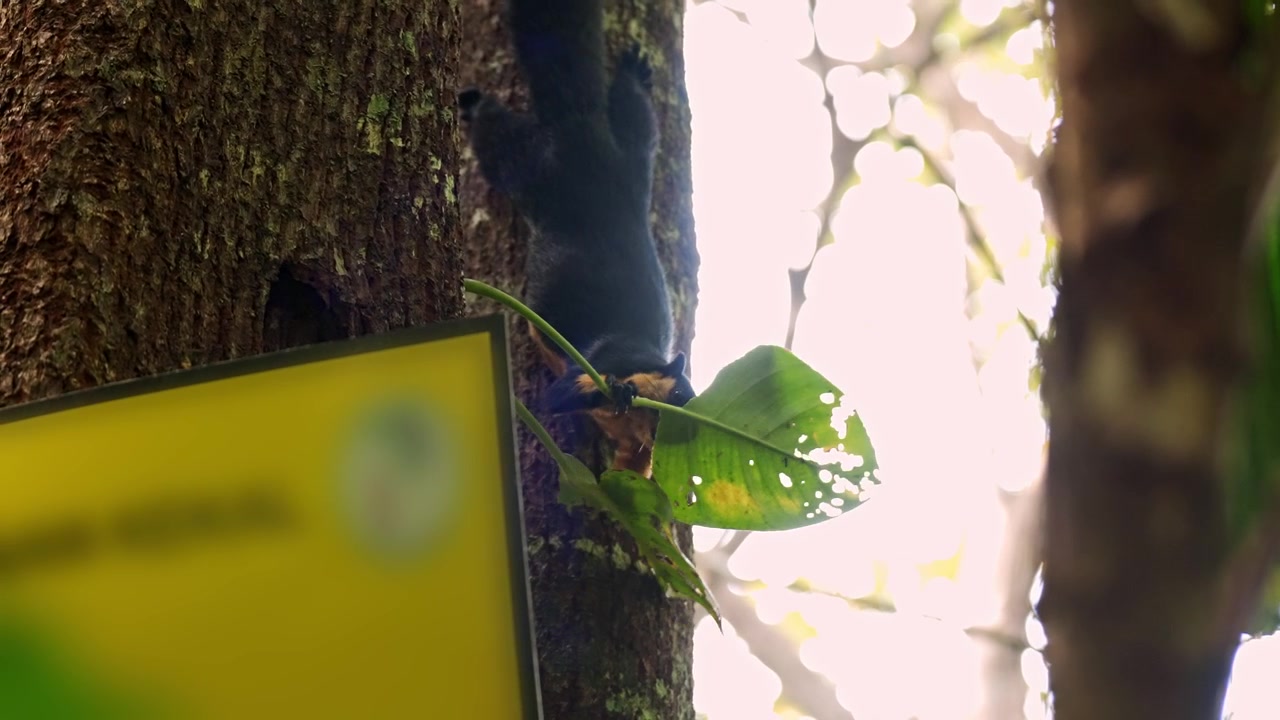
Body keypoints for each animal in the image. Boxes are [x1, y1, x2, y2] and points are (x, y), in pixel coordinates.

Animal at [459, 0, 695, 477]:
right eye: (683, 397)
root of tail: (585, 133)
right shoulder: (606, 362)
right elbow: (561, 396)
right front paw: (618, 391)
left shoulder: (637, 450)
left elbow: (630, 474)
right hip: (532, 171)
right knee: (498, 140)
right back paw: (474, 104)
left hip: (637, 152)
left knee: (634, 112)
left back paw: (635, 74)